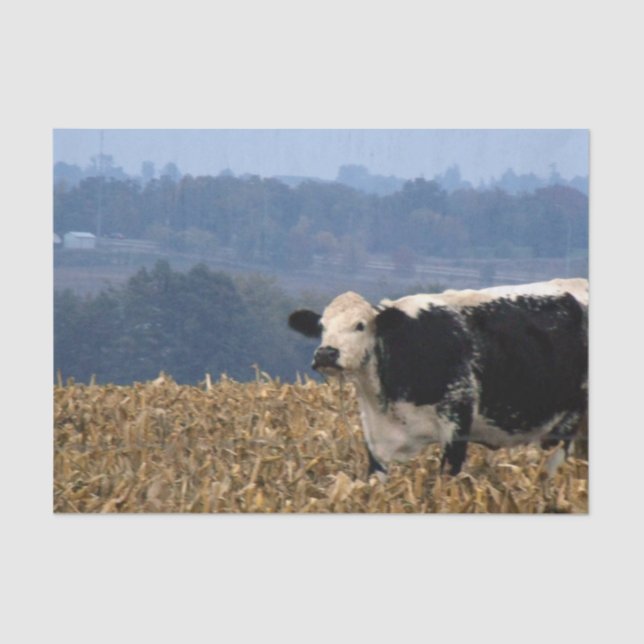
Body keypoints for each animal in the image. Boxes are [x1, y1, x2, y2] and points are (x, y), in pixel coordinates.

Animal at [288, 278, 588, 478]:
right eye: (322, 326)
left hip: (567, 424)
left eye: (360, 325)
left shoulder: (457, 426)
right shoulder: (377, 439)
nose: (326, 353)